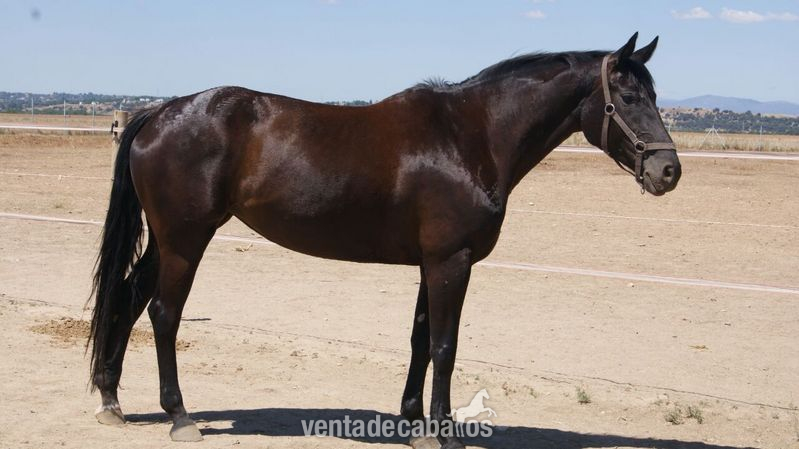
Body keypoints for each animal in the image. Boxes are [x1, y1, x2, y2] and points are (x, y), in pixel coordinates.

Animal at [87, 32, 681, 449]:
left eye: (655, 94)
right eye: (628, 96)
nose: (669, 171)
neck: (469, 138)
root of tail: (158, 112)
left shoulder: (430, 262)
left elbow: (420, 340)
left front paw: (414, 422)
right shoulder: (451, 262)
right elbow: (445, 346)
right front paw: (443, 432)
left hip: (168, 242)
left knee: (127, 299)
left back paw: (111, 400)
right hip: (185, 240)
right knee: (163, 314)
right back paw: (179, 417)